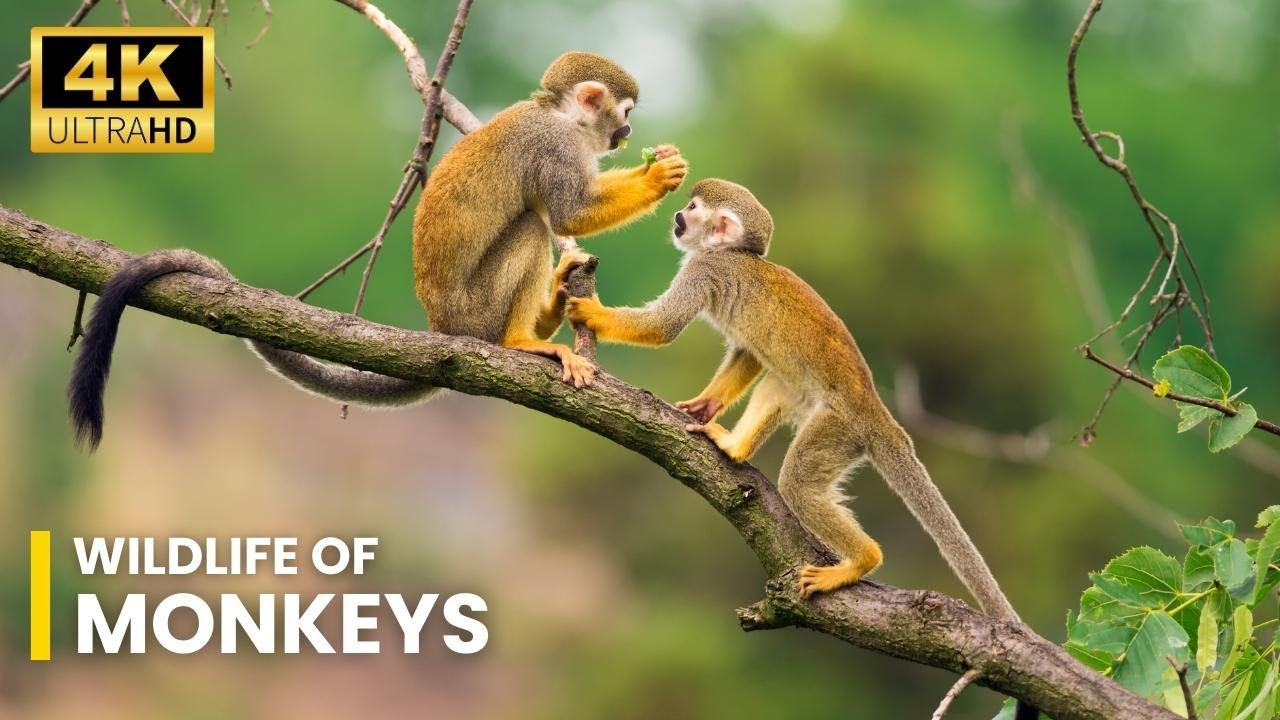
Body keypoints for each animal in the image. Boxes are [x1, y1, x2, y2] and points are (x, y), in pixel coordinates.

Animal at [68, 51, 688, 449]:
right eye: (624, 113)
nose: (628, 135)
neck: (560, 117)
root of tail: (442, 328)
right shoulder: (554, 146)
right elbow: (566, 213)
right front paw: (659, 178)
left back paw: (554, 305)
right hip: (475, 311)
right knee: (532, 228)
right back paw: (522, 341)